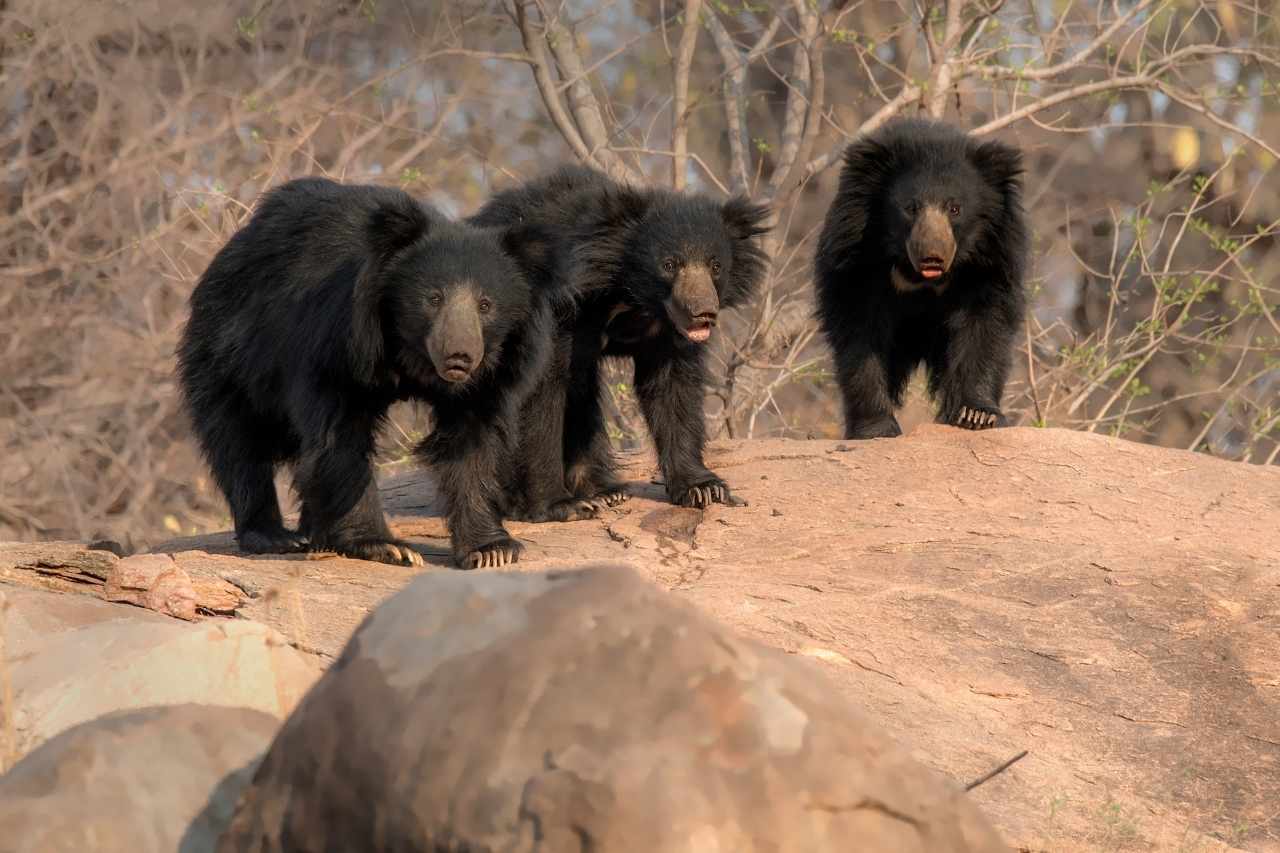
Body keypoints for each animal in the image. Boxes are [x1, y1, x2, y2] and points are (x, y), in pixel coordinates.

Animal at [176, 176, 565, 568]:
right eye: (433, 298)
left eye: (486, 305)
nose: (460, 357)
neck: (409, 353)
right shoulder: (337, 342)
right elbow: (341, 436)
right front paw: (388, 547)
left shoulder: (492, 376)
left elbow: (470, 445)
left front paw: (492, 550)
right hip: (230, 352)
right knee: (238, 443)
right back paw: (274, 536)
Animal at [471, 162, 768, 514]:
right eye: (669, 264)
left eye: (716, 266)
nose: (703, 313)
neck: (632, 295)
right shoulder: (561, 311)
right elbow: (542, 391)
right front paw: (558, 505)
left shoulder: (669, 334)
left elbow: (674, 389)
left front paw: (703, 488)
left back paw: (604, 490)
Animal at [819, 117, 1029, 438]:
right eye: (910, 207)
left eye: (955, 208)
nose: (933, 257)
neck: (918, 277)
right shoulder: (855, 261)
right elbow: (860, 333)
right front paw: (876, 426)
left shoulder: (990, 264)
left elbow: (984, 326)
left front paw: (976, 415)